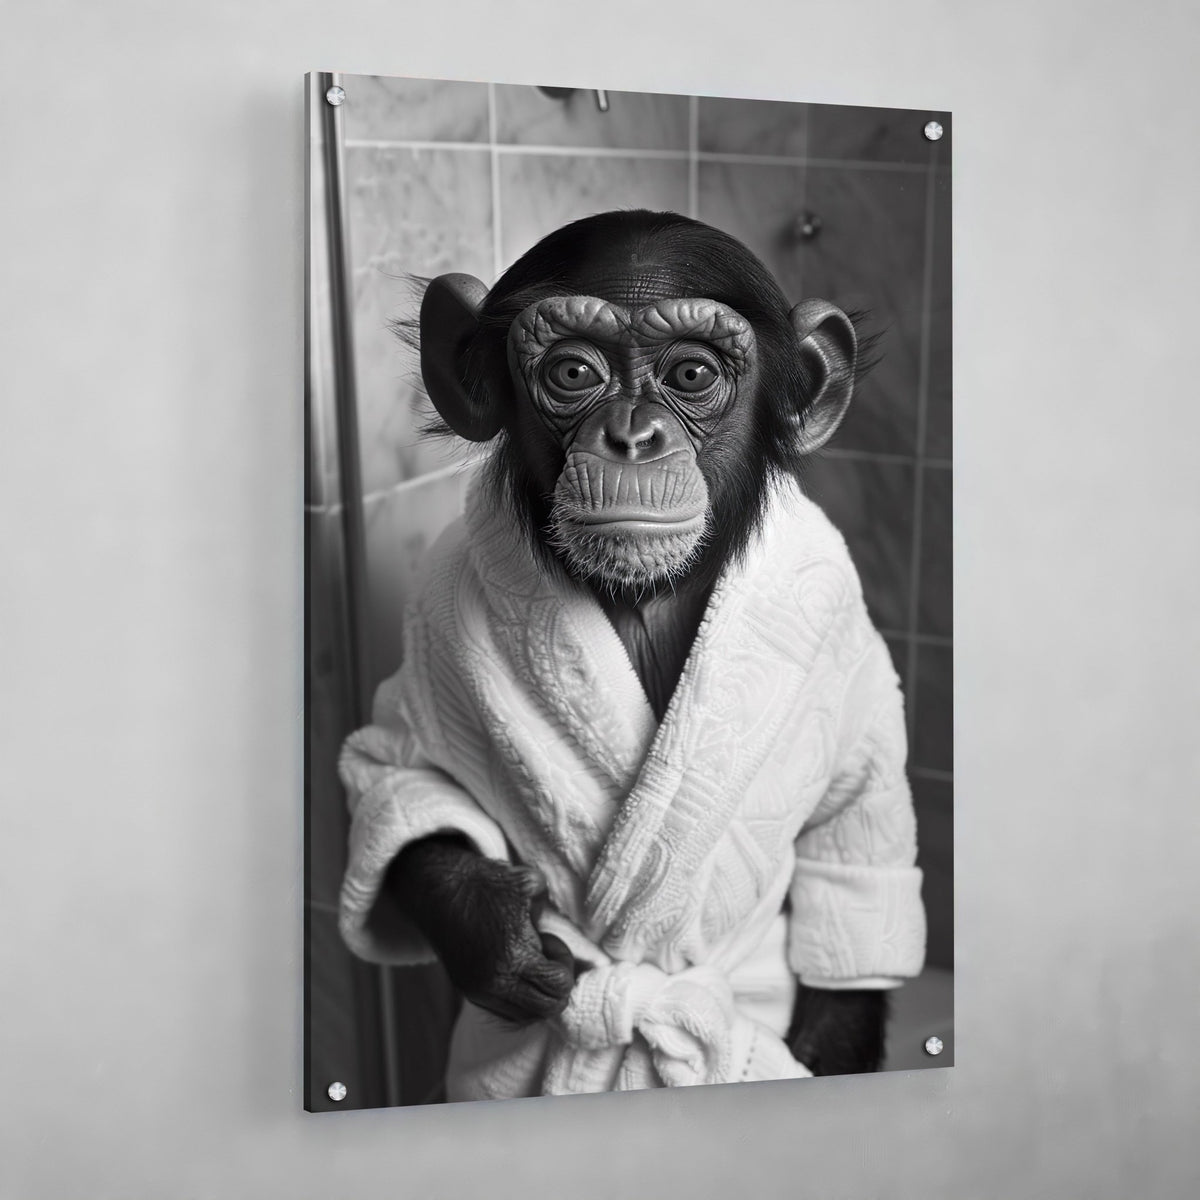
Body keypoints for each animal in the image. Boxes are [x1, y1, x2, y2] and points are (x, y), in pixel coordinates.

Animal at [339, 210, 925, 1098]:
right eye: (573, 371)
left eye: (691, 373)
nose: (631, 436)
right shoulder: (434, 608)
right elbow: (399, 776)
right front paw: (490, 930)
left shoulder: (839, 621)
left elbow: (853, 822)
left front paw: (831, 1045)